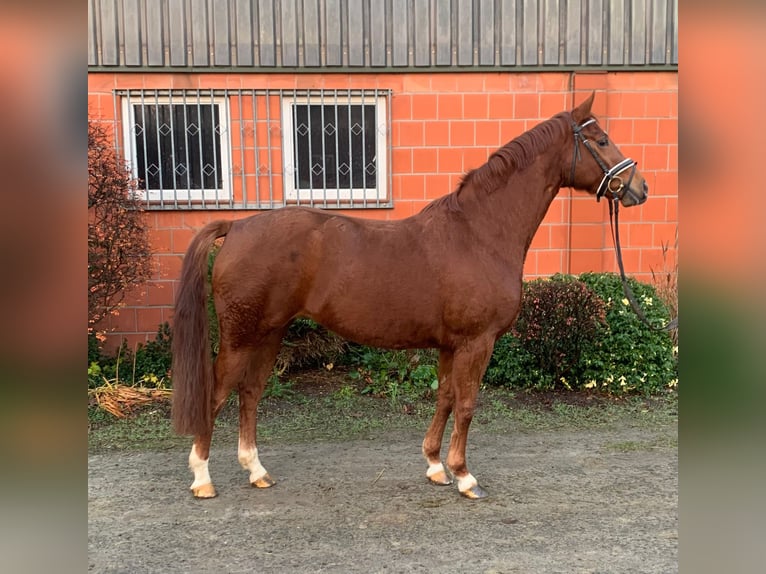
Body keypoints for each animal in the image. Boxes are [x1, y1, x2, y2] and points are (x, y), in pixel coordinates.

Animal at [172, 93, 648, 500]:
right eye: (601, 140)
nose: (638, 187)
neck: (479, 233)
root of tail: (237, 226)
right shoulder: (477, 342)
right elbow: (467, 404)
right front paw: (464, 476)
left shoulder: (450, 345)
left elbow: (445, 398)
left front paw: (436, 466)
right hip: (240, 335)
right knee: (217, 394)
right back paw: (202, 478)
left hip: (270, 332)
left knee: (250, 392)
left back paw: (256, 471)